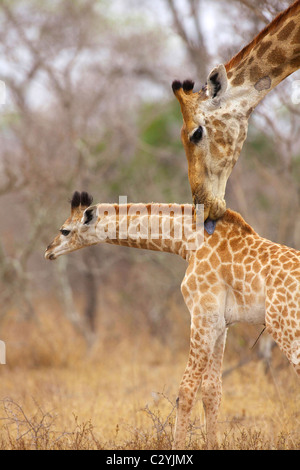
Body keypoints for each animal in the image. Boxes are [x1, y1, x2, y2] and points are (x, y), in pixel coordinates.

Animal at [45, 193, 300, 450]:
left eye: (64, 230)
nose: (49, 250)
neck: (189, 242)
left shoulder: (202, 314)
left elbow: (186, 390)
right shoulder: (220, 323)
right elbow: (212, 390)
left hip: (285, 326)